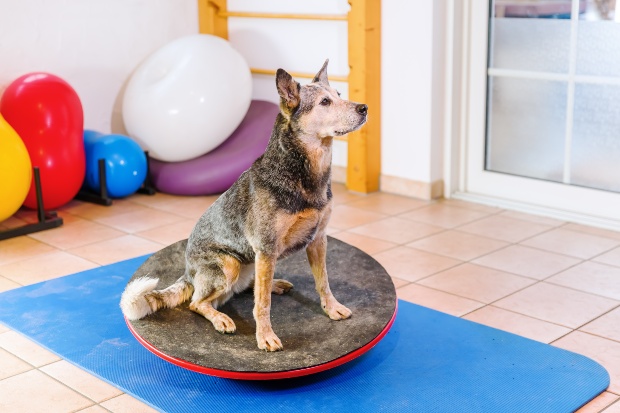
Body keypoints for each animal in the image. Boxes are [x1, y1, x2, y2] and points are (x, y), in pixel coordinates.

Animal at [121, 60, 368, 350]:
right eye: (325, 102)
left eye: (340, 95)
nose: (364, 108)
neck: (303, 173)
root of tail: (188, 273)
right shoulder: (266, 247)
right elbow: (262, 304)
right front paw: (265, 336)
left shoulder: (318, 239)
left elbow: (323, 282)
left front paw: (332, 308)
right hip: (230, 264)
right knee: (198, 302)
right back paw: (220, 318)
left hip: (252, 264)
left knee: (250, 286)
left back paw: (274, 284)